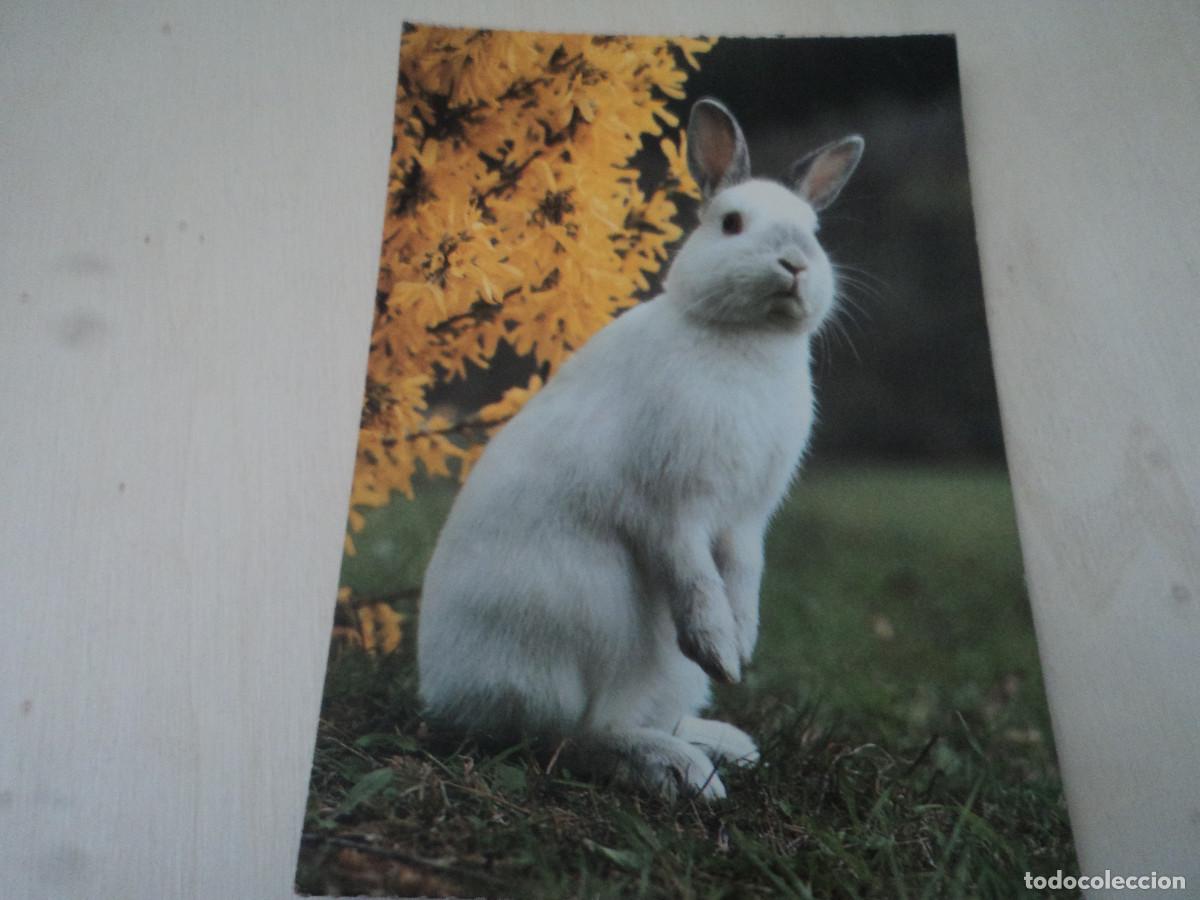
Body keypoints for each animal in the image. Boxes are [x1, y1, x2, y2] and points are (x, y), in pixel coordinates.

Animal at [417, 97, 863, 800]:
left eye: (814, 233)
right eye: (732, 223)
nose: (795, 263)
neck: (745, 340)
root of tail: (450, 699)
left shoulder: (745, 522)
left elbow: (743, 576)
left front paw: (741, 648)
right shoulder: (671, 506)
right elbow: (694, 577)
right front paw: (719, 648)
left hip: (659, 670)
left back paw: (722, 745)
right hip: (582, 623)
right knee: (568, 736)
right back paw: (677, 770)